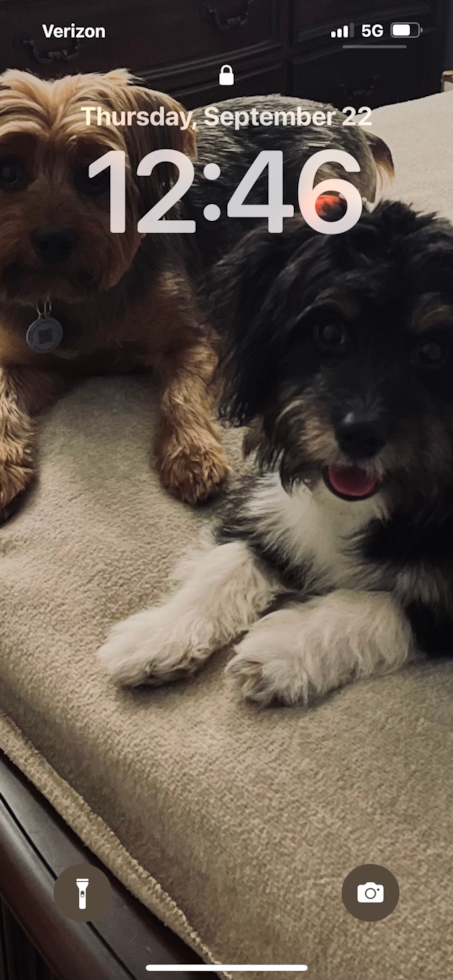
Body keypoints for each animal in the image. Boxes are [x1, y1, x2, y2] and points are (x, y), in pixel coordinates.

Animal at [97, 201, 452, 704]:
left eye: (433, 351)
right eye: (329, 331)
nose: (360, 436)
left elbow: (382, 606)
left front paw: (280, 651)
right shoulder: (267, 505)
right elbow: (229, 560)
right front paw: (158, 634)